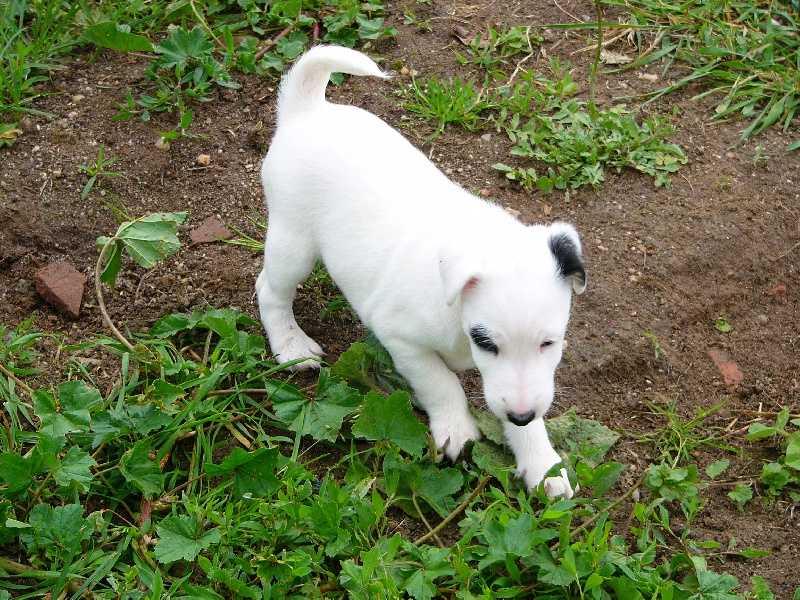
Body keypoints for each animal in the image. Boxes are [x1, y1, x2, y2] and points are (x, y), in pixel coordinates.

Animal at [255, 46, 586, 499]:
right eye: (486, 343)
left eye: (549, 343)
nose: (519, 417)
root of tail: (306, 109)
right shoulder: (403, 341)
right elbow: (440, 382)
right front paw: (457, 428)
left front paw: (543, 463)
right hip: (294, 244)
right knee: (270, 290)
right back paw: (290, 346)